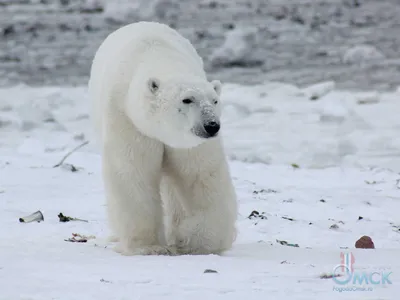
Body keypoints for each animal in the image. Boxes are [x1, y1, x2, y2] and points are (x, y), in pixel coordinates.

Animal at [88, 21, 238, 255]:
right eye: (187, 99)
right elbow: (133, 172)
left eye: (214, 101)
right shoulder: (128, 120)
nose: (212, 126)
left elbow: (200, 175)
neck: (156, 54)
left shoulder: (189, 143)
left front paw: (200, 242)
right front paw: (149, 247)